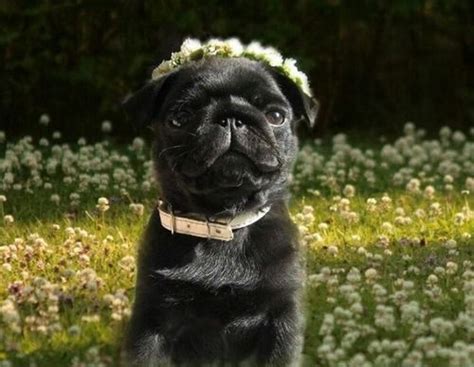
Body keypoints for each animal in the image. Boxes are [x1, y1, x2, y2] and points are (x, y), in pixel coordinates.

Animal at [124, 55, 318, 367]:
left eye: (276, 116)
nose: (231, 118)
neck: (223, 223)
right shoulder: (151, 322)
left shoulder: (281, 319)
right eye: (181, 117)